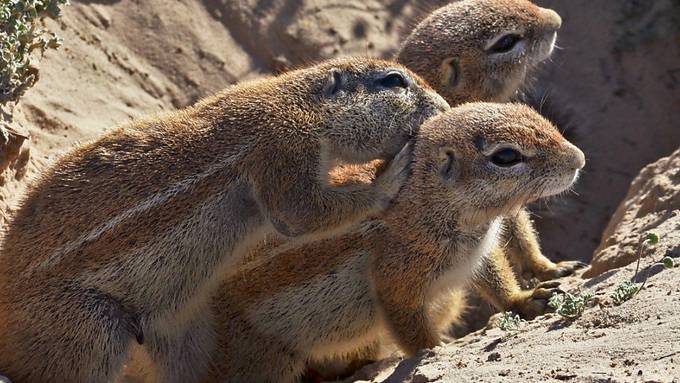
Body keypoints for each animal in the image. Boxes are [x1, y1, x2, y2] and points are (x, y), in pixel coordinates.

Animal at [0, 57, 446, 383]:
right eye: (394, 80)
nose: (443, 107)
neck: (304, 100)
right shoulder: (284, 145)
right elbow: (300, 213)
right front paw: (388, 179)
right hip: (90, 330)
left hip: (179, 334)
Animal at [203, 103, 584, 383]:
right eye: (506, 156)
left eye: (530, 112)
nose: (579, 159)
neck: (427, 200)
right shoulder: (397, 275)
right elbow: (410, 327)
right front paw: (436, 351)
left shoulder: (477, 254)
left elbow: (497, 281)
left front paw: (529, 298)